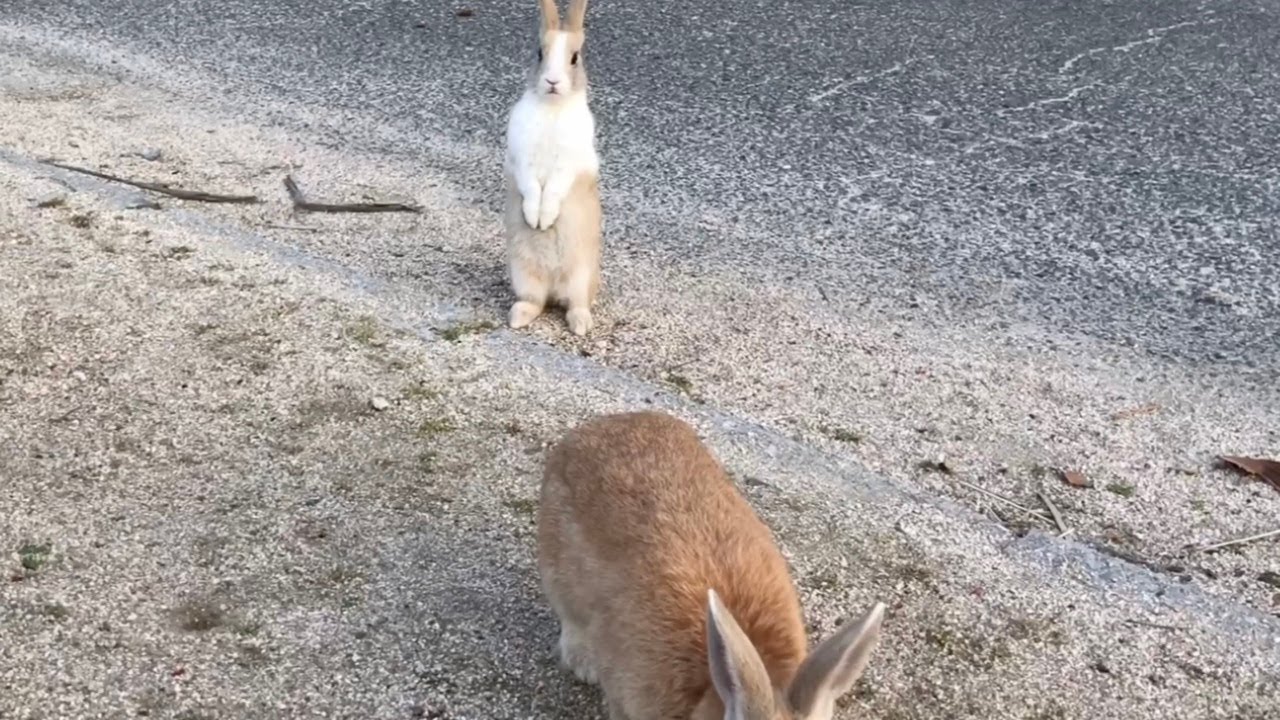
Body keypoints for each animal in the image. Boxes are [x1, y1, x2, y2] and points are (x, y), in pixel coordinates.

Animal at [503, 0, 602, 337]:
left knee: (575, 303)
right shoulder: (521, 158)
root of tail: (554, 286)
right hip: (522, 273)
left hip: (581, 276)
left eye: (574, 58)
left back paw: (581, 325)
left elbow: (555, 188)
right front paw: (535, 219)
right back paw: (518, 318)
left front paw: (544, 219)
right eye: (539, 53)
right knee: (536, 302)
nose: (552, 82)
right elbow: (532, 187)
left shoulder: (568, 165)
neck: (553, 108)